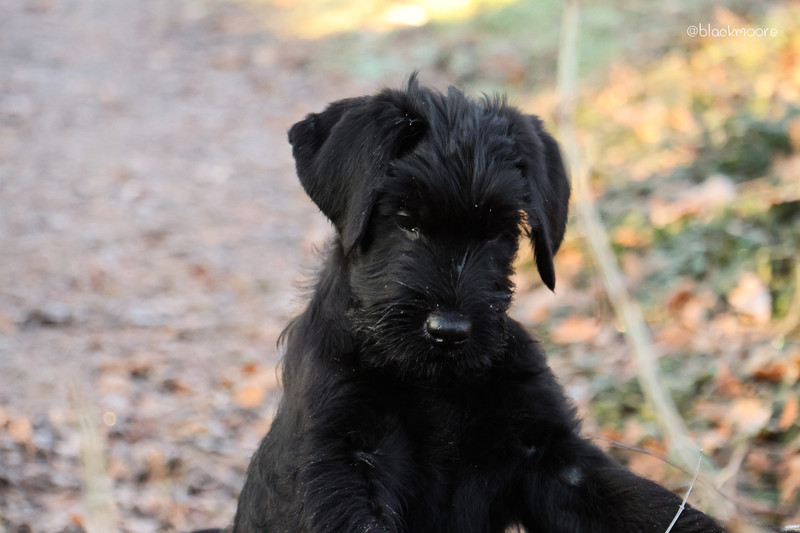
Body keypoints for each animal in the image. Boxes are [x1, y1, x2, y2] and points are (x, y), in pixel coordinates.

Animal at [232, 76, 725, 532]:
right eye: (406, 221)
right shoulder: (340, 464)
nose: (449, 331)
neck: (434, 384)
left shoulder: (553, 456)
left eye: (497, 231)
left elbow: (644, 505)